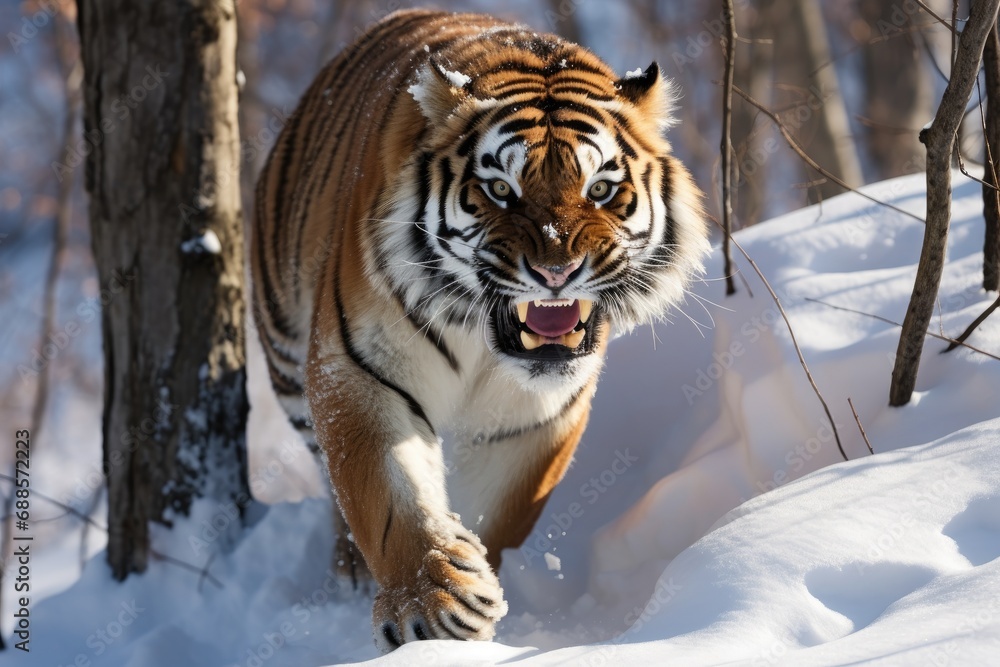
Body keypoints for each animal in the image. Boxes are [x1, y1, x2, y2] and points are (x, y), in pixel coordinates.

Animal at [251, 8, 709, 652]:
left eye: (599, 189)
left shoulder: (530, 418)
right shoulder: (358, 371)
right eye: (500, 191)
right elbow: (389, 496)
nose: (556, 271)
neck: (483, 341)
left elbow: (492, 512)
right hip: (287, 356)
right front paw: (431, 607)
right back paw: (350, 568)